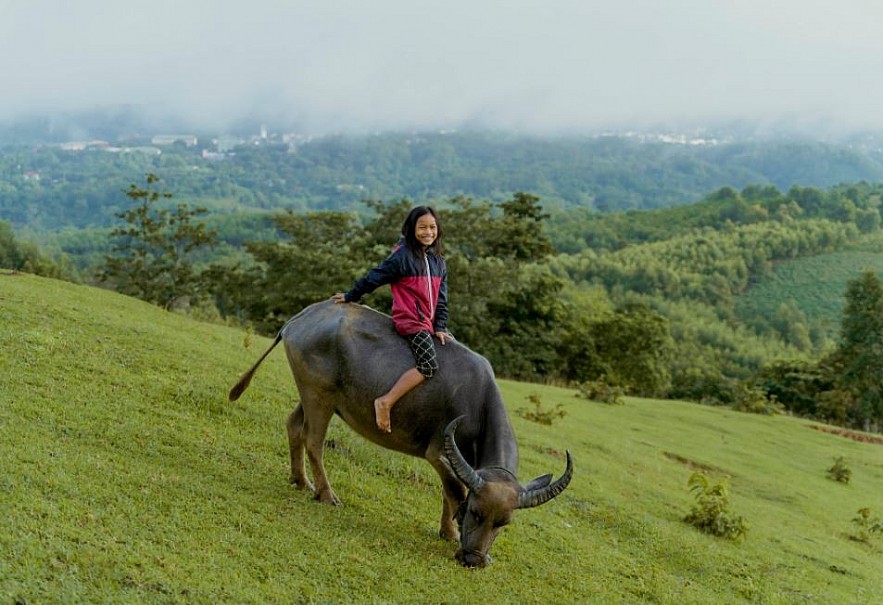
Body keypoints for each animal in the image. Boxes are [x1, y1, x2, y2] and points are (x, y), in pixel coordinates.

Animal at [228, 300, 572, 568]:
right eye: (476, 513)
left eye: (503, 523)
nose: (473, 559)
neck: (478, 401)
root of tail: (303, 317)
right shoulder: (438, 452)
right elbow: (454, 491)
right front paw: (452, 533)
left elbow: (448, 491)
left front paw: (447, 530)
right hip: (318, 395)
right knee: (313, 440)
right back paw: (326, 494)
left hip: (313, 395)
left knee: (293, 426)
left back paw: (300, 481)